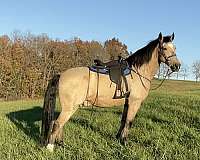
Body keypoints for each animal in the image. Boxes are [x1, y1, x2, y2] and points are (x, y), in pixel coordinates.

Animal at [40, 32, 181, 151]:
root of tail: (61, 74)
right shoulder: (134, 103)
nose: (177, 66)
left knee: (58, 123)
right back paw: (50, 147)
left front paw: (118, 139)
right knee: (57, 123)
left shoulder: (127, 103)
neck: (138, 72)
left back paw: (61, 143)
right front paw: (124, 142)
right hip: (70, 107)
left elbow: (123, 121)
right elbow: (129, 122)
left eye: (175, 48)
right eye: (164, 48)